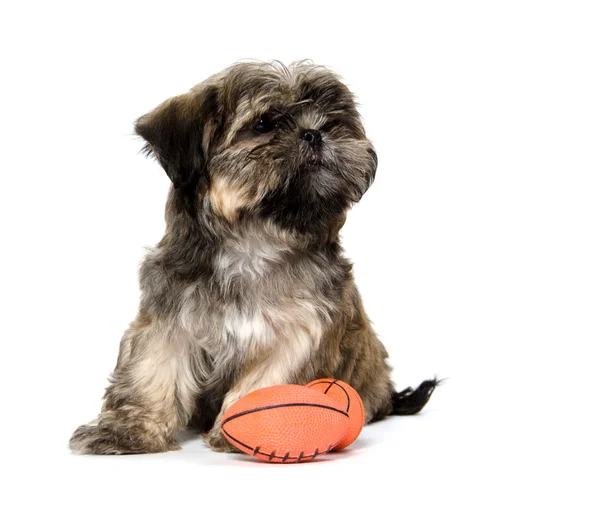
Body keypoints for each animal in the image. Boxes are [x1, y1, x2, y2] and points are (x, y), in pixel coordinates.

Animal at [69, 60, 436, 450]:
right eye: (263, 124)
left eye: (333, 119)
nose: (314, 133)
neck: (254, 243)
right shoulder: (169, 316)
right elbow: (152, 369)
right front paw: (127, 430)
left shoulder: (300, 329)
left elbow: (267, 377)